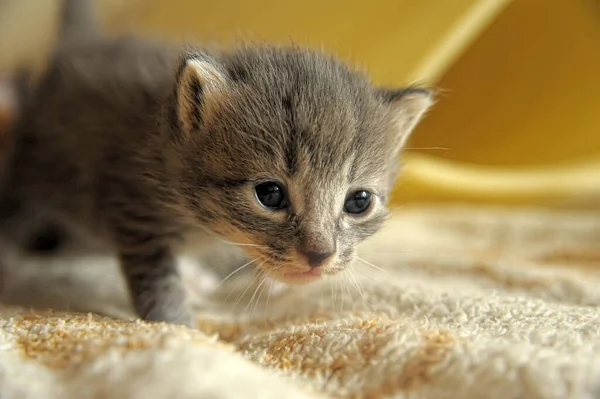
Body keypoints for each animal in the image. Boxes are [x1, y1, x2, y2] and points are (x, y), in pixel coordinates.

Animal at [0, 0, 432, 326]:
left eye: (359, 202)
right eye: (270, 194)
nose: (318, 257)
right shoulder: (133, 211)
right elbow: (156, 278)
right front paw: (177, 325)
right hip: (34, 172)